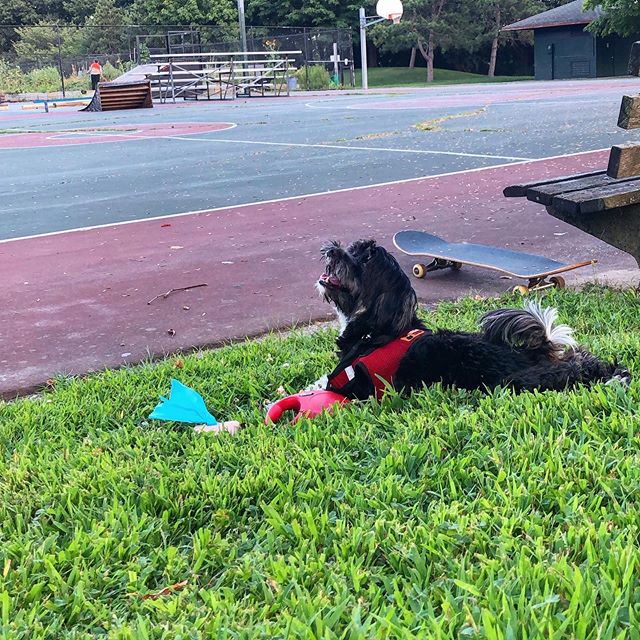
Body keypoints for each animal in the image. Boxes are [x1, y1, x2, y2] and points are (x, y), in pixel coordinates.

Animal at [316, 240, 632, 400]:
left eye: (365, 259)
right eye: (354, 248)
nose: (332, 250)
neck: (379, 330)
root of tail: (537, 352)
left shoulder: (352, 385)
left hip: (518, 381)